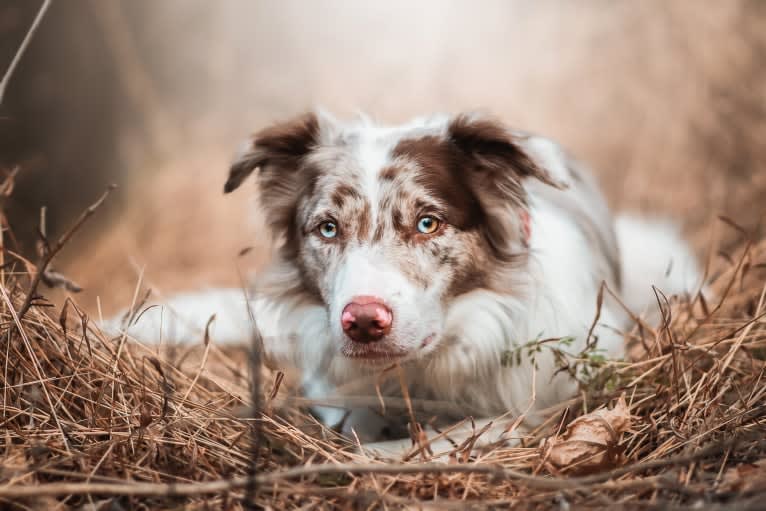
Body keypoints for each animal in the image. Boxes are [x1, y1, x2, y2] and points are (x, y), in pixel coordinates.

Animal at [111, 111, 704, 460]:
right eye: (328, 228)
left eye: (427, 223)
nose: (363, 321)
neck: (427, 368)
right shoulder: (335, 386)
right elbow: (354, 423)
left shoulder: (548, 402)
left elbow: (453, 435)